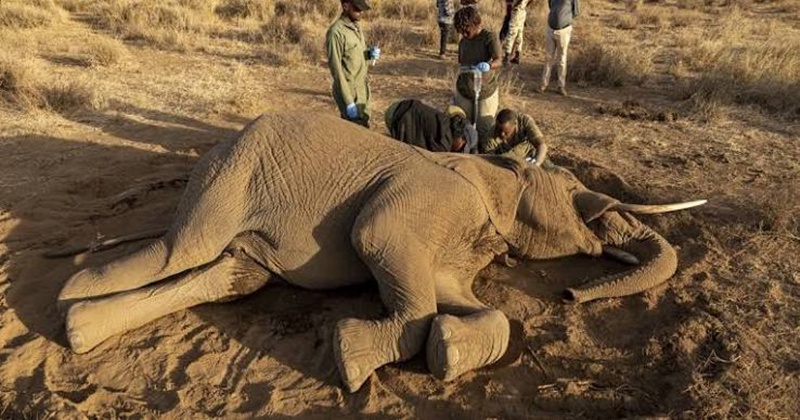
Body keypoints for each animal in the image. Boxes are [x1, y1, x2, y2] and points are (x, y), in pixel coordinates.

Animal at [57, 113, 705, 392]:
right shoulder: (429, 201)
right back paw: (70, 292)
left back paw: (80, 329)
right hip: (230, 174)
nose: (571, 293)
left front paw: (449, 350)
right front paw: (351, 359)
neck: (491, 169)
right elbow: (377, 238)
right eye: (574, 191)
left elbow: (466, 303)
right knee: (178, 250)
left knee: (228, 277)